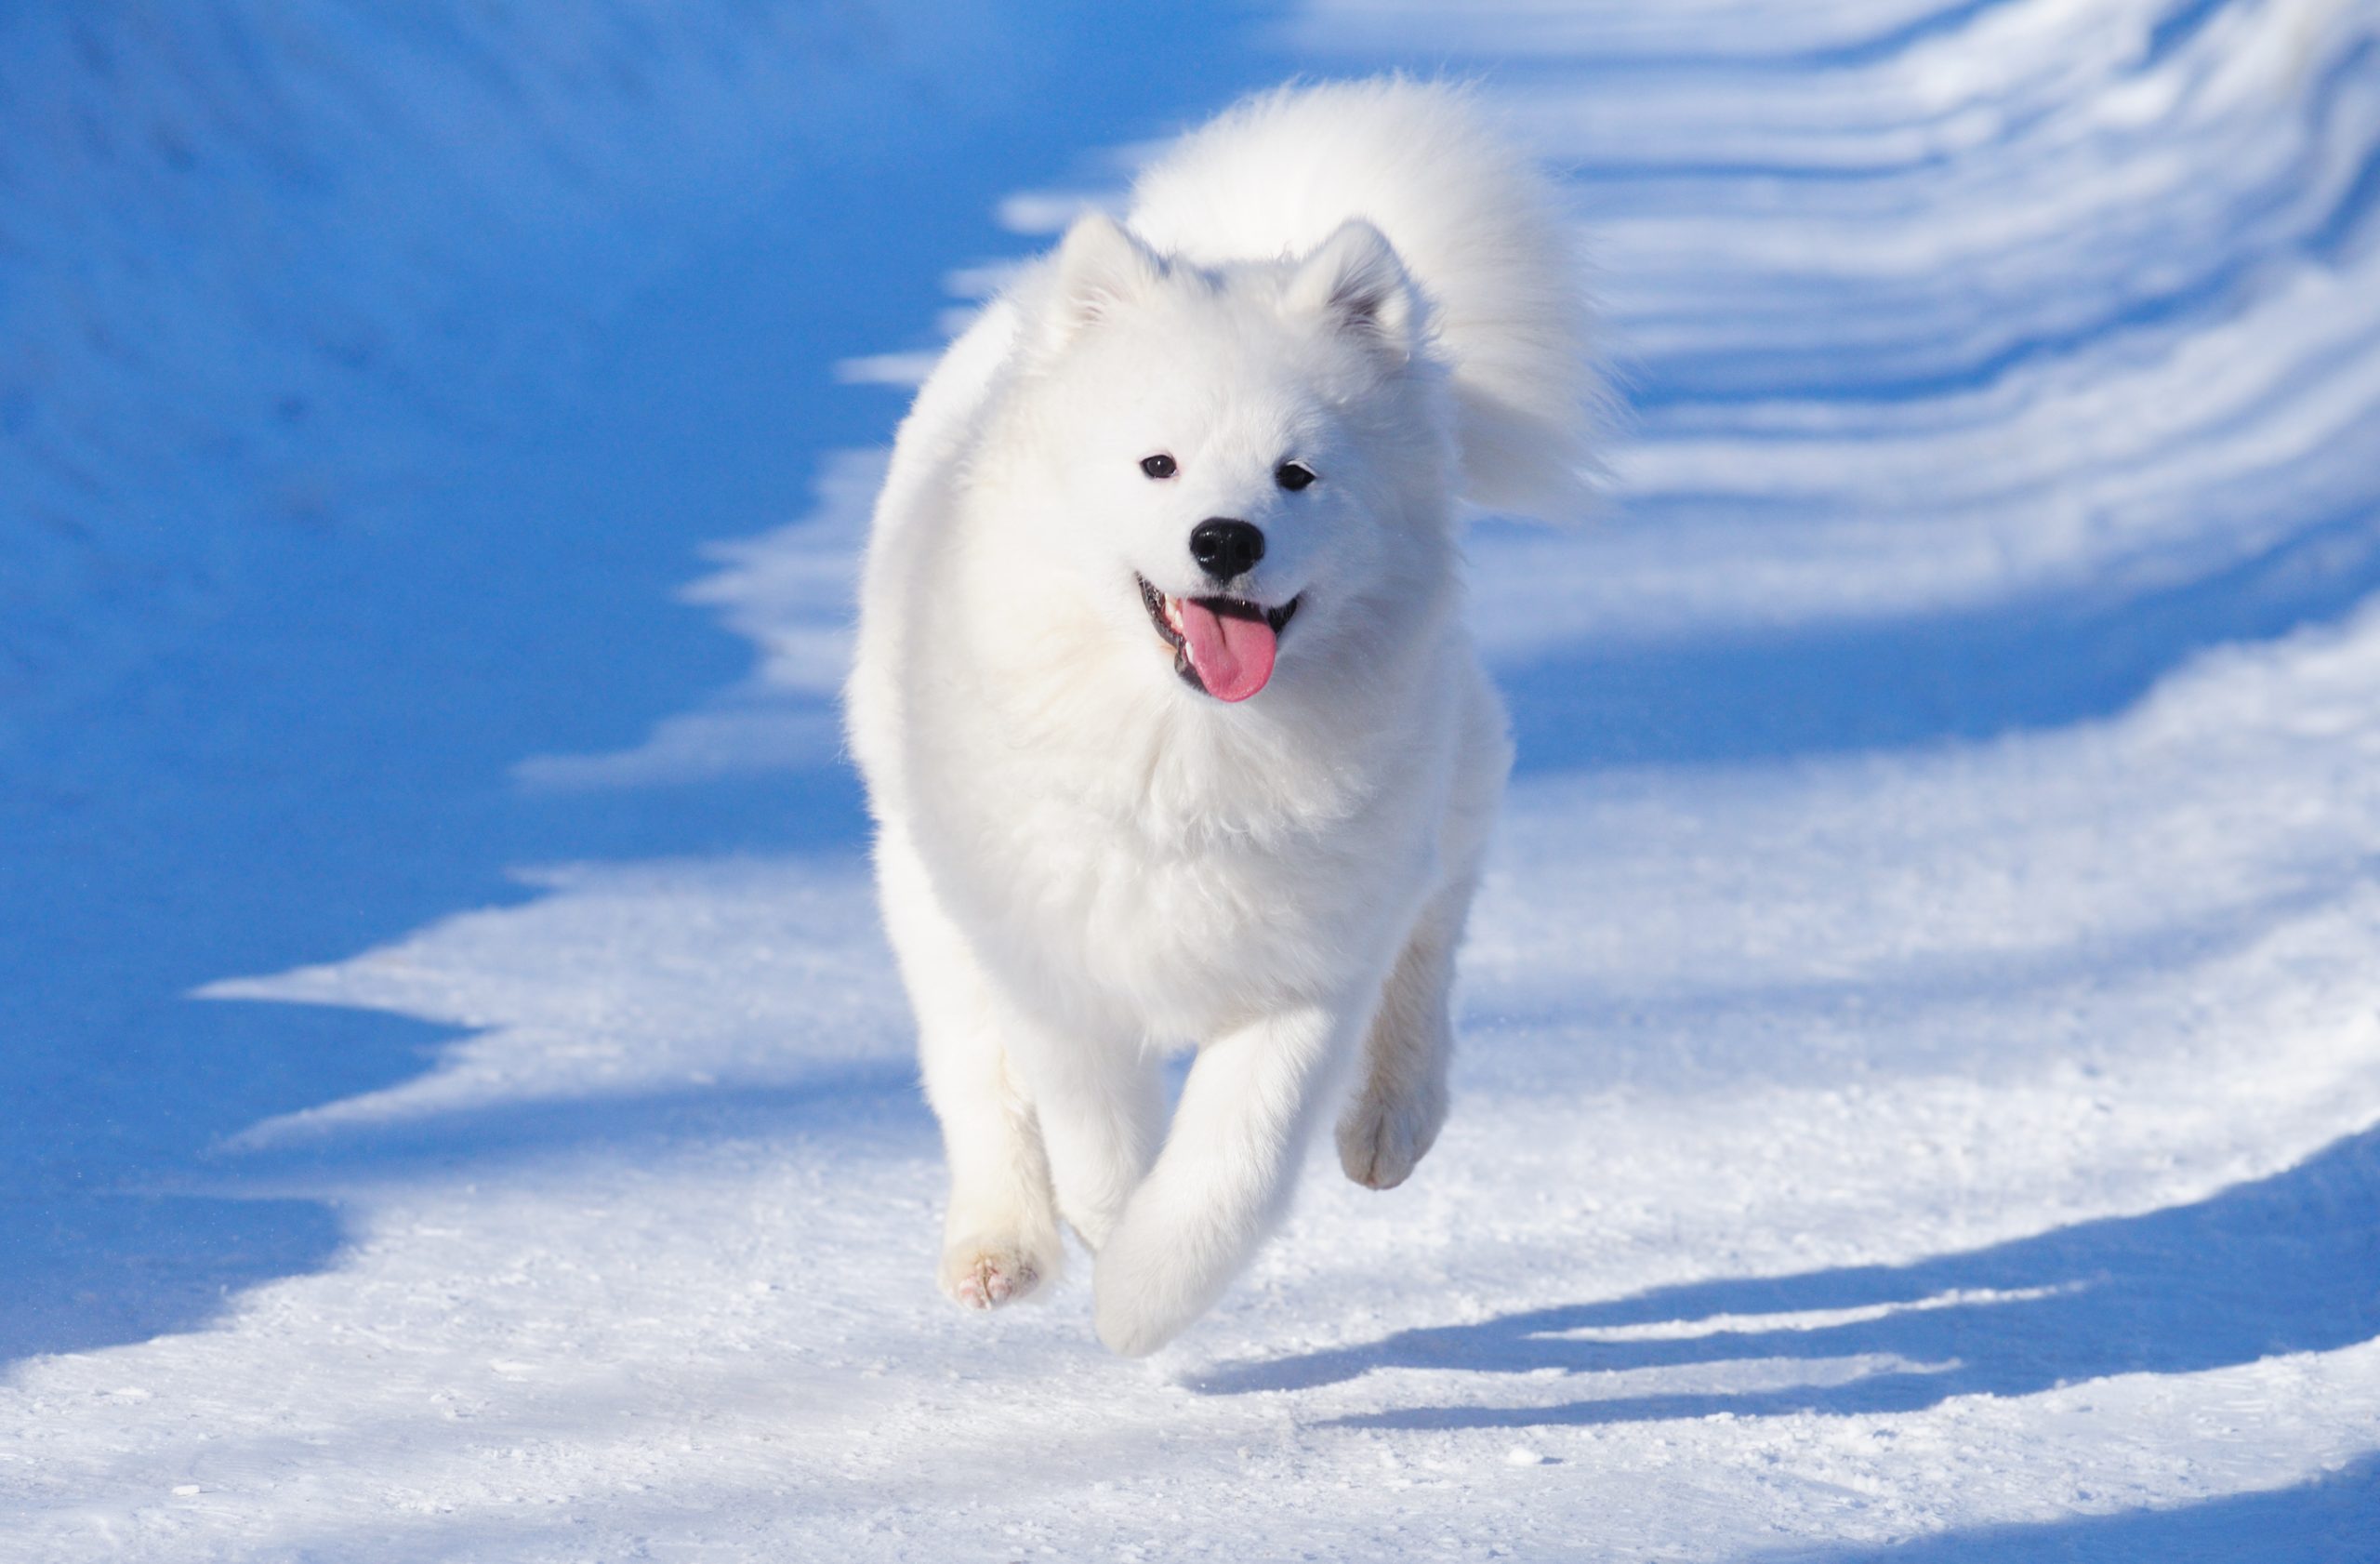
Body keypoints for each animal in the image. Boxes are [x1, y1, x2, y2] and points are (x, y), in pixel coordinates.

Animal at [847, 75, 1608, 1352]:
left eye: (1297, 473)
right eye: (1156, 464)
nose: (1224, 540)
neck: (1189, 751)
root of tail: (1235, 243)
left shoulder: (1304, 972)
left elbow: (1230, 1170)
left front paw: (1142, 1301)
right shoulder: (1056, 960)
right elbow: (1096, 1140)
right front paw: (1107, 1248)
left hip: (1444, 787)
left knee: (1434, 925)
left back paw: (1389, 1120)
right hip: (923, 885)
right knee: (973, 1074)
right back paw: (999, 1248)